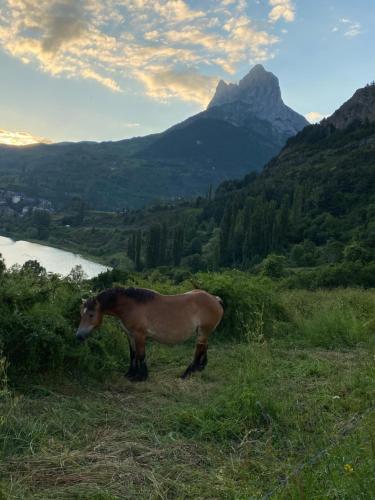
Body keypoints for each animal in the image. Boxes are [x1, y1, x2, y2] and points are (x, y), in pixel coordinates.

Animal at [75, 288, 225, 380]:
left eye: (91, 314)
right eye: (81, 314)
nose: (78, 336)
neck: (131, 306)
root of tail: (215, 299)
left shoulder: (140, 335)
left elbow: (141, 355)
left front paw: (141, 377)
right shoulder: (130, 335)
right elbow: (133, 355)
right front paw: (130, 373)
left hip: (203, 332)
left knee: (199, 349)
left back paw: (187, 374)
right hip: (203, 332)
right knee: (204, 347)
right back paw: (200, 367)